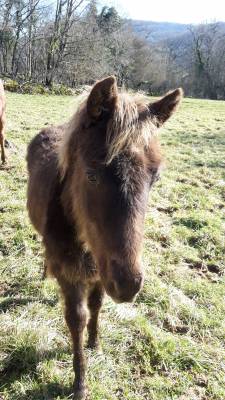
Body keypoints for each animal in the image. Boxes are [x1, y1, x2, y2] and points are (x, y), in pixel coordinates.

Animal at [26, 76, 183, 400]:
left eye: (155, 177)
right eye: (91, 175)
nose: (128, 284)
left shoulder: (101, 270)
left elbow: (97, 305)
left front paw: (95, 344)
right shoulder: (71, 275)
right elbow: (77, 319)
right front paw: (80, 383)